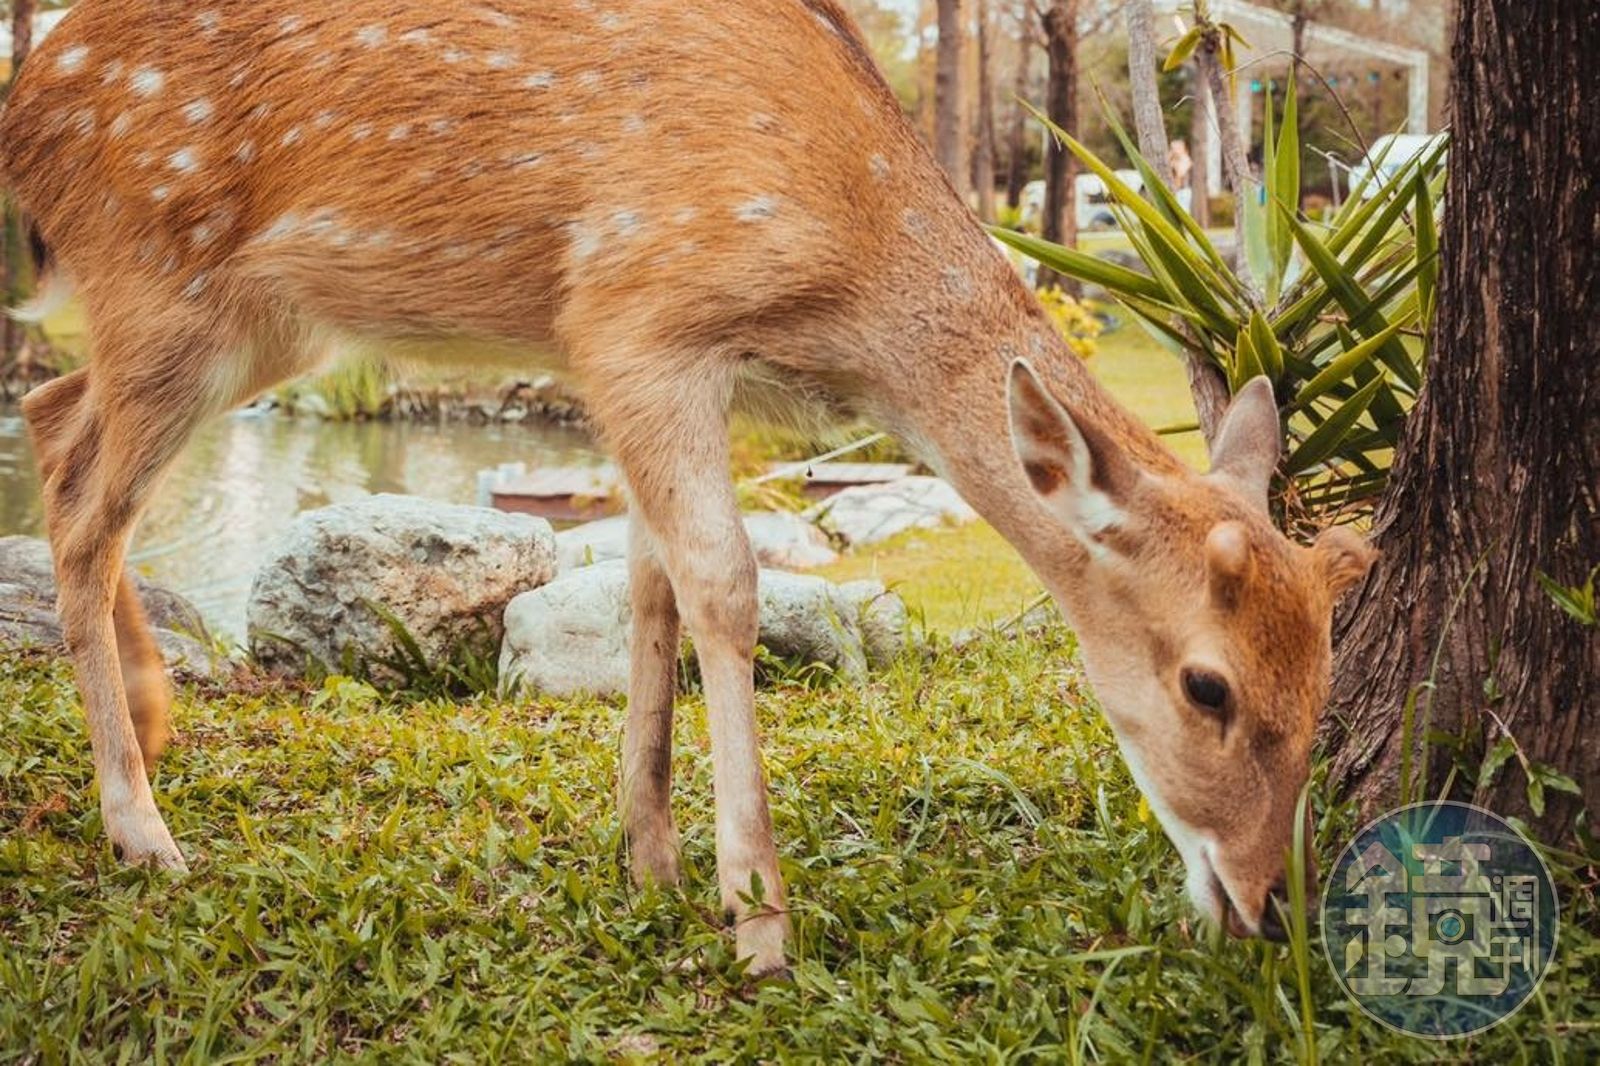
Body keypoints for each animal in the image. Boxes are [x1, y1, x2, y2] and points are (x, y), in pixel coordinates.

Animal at [0, 0, 1375, 976]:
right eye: (1206, 683)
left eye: (1325, 679)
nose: (1263, 906)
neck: (841, 277)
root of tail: (24, 100)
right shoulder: (636, 319)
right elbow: (722, 581)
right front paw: (757, 915)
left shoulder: (640, 366)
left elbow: (650, 581)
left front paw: (648, 853)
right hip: (166, 285)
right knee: (81, 506)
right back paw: (143, 828)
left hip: (256, 328)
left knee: (54, 420)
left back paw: (156, 720)